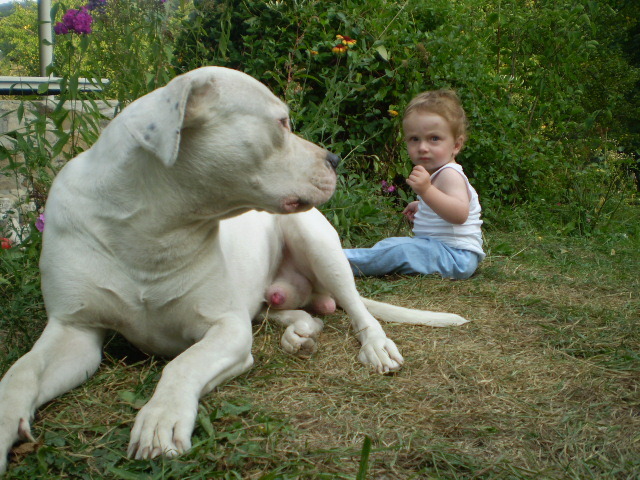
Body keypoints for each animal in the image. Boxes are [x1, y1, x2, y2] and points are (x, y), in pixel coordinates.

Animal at [0, 67, 464, 472]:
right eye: (281, 122)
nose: (334, 159)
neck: (152, 228)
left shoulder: (227, 329)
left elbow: (182, 364)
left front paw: (161, 417)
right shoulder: (74, 331)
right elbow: (20, 373)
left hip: (317, 242)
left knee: (356, 309)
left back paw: (375, 346)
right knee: (294, 312)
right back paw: (300, 333)